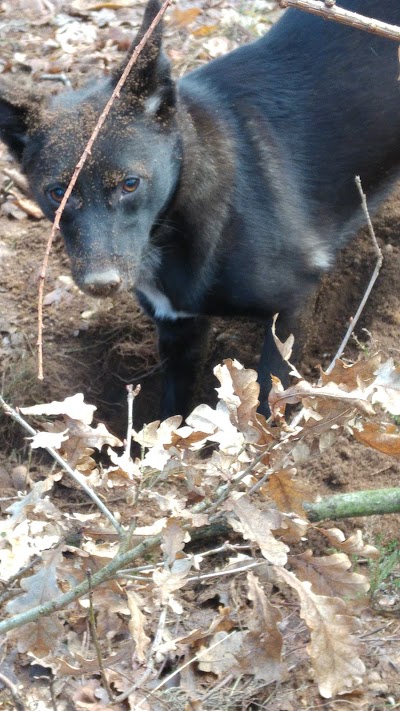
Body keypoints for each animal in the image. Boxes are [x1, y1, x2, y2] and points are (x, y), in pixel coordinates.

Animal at [0, 0, 400, 414]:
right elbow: (173, 411)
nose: (101, 283)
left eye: (130, 184)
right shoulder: (178, 328)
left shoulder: (291, 306)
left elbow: (268, 399)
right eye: (57, 192)